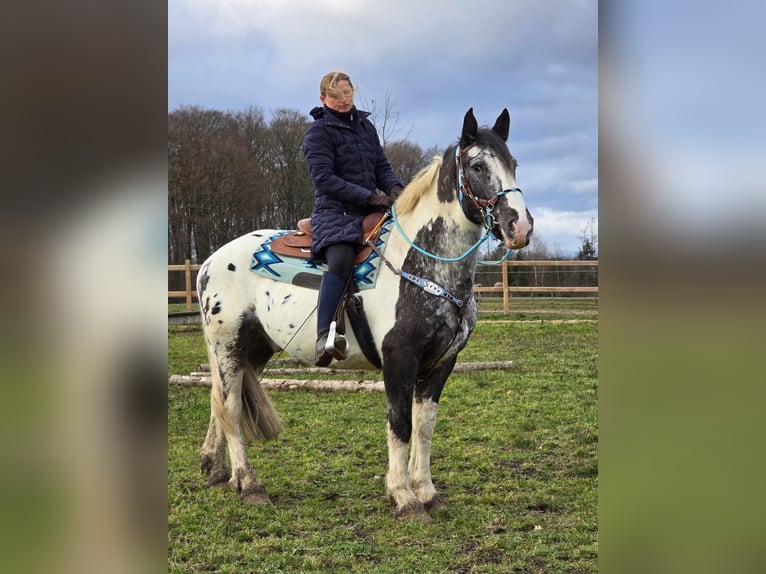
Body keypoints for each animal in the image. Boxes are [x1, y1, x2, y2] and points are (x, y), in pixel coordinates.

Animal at [195, 108, 536, 520]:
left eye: (513, 163)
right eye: (477, 165)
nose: (519, 226)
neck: (422, 265)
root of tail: (210, 261)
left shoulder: (442, 362)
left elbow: (424, 425)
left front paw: (427, 491)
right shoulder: (399, 359)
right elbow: (400, 424)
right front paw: (404, 498)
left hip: (255, 349)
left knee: (220, 403)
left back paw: (216, 471)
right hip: (228, 344)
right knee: (230, 407)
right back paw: (249, 484)